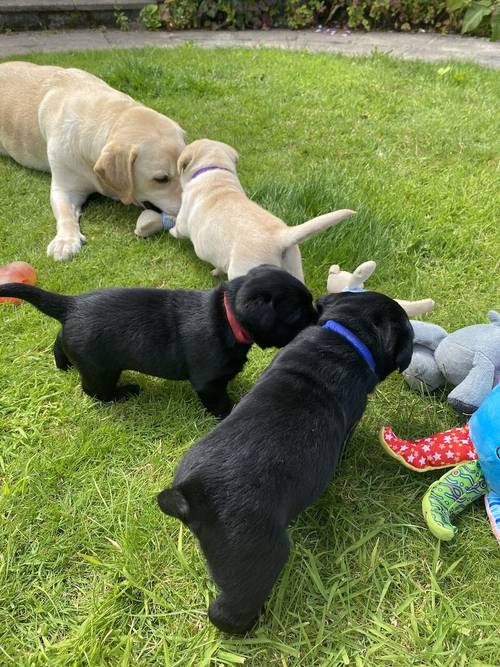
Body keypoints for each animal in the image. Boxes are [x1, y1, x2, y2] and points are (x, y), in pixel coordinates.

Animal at [0, 266, 314, 418]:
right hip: (100, 370)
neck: (228, 316)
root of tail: (71, 305)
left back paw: (63, 364)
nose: (318, 314)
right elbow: (219, 401)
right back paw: (126, 392)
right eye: (297, 313)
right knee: (97, 392)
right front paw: (228, 413)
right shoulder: (208, 383)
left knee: (58, 340)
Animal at [172, 141, 356, 282]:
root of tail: (282, 236)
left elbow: (178, 228)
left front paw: (171, 230)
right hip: (295, 267)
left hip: (243, 270)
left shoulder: (184, 219)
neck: (215, 170)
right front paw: (216, 271)